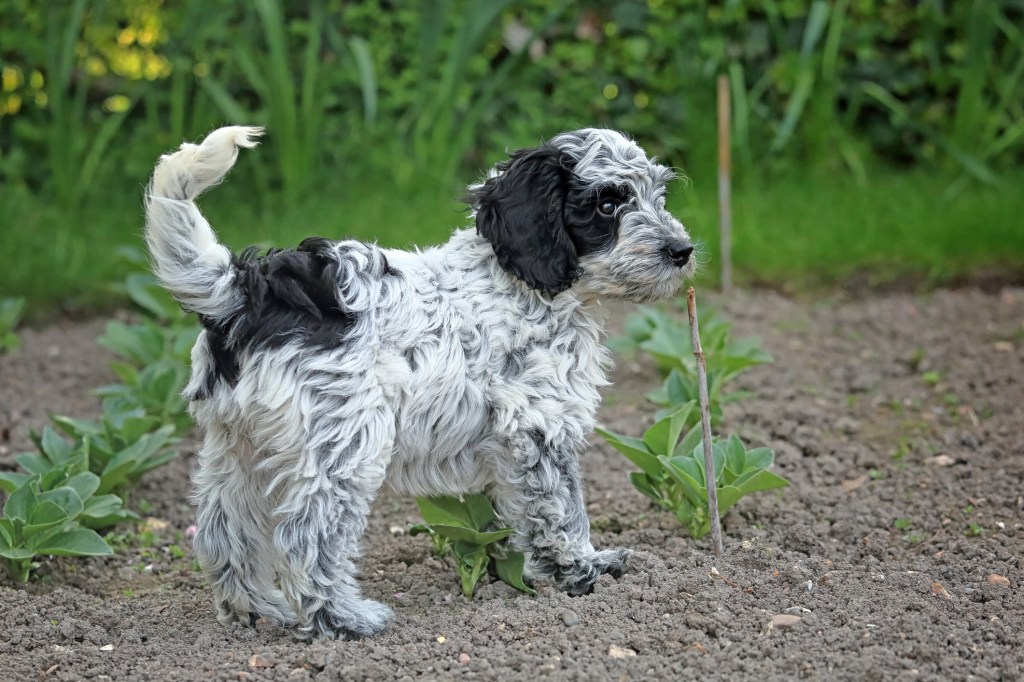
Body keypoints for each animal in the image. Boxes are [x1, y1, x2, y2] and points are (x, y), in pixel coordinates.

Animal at [144, 125, 696, 638]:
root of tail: (244, 290)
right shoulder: (538, 424)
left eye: (658, 196)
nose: (682, 250)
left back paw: (254, 610)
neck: (524, 286)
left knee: (222, 531)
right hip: (343, 443)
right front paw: (581, 569)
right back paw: (341, 620)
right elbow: (562, 507)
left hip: (239, 446)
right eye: (608, 203)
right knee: (308, 535)